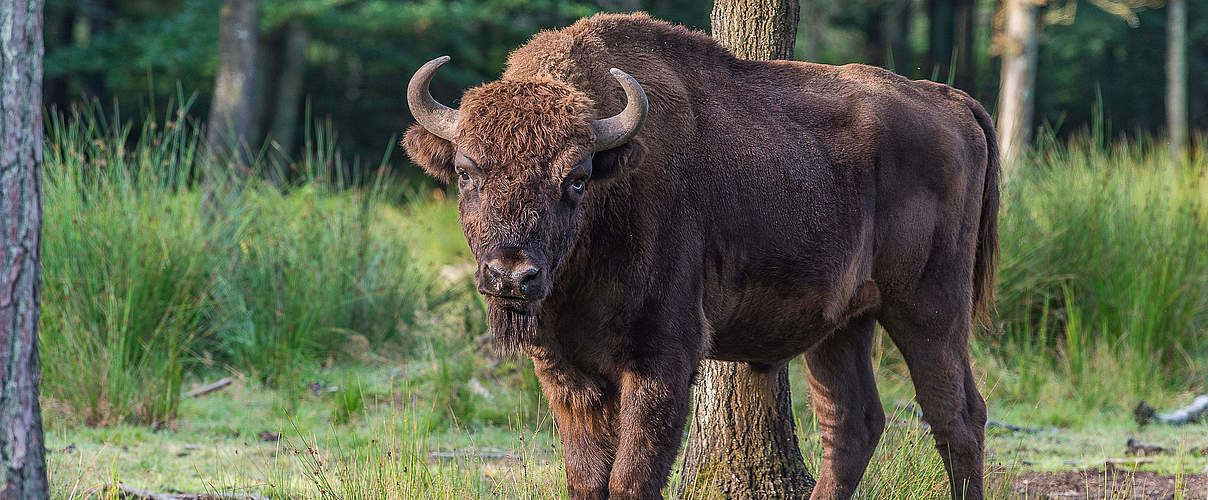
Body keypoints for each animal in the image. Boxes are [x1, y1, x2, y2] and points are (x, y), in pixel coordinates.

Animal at [401, 11, 995, 500]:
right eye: (466, 172)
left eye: (576, 179)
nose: (511, 276)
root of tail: (949, 101)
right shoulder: (564, 370)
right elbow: (587, 477)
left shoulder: (661, 359)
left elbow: (631, 477)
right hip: (842, 324)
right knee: (852, 422)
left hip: (928, 308)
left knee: (957, 416)